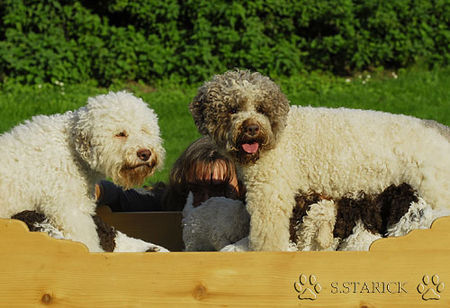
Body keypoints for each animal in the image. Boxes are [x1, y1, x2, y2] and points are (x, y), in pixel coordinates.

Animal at [0, 90, 165, 251]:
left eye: (144, 130)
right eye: (120, 134)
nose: (145, 153)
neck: (71, 148)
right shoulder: (69, 210)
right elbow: (87, 242)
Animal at [190, 70, 450, 253]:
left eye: (261, 108)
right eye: (233, 109)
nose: (252, 128)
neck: (279, 133)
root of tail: (440, 130)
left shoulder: (270, 195)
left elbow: (267, 235)